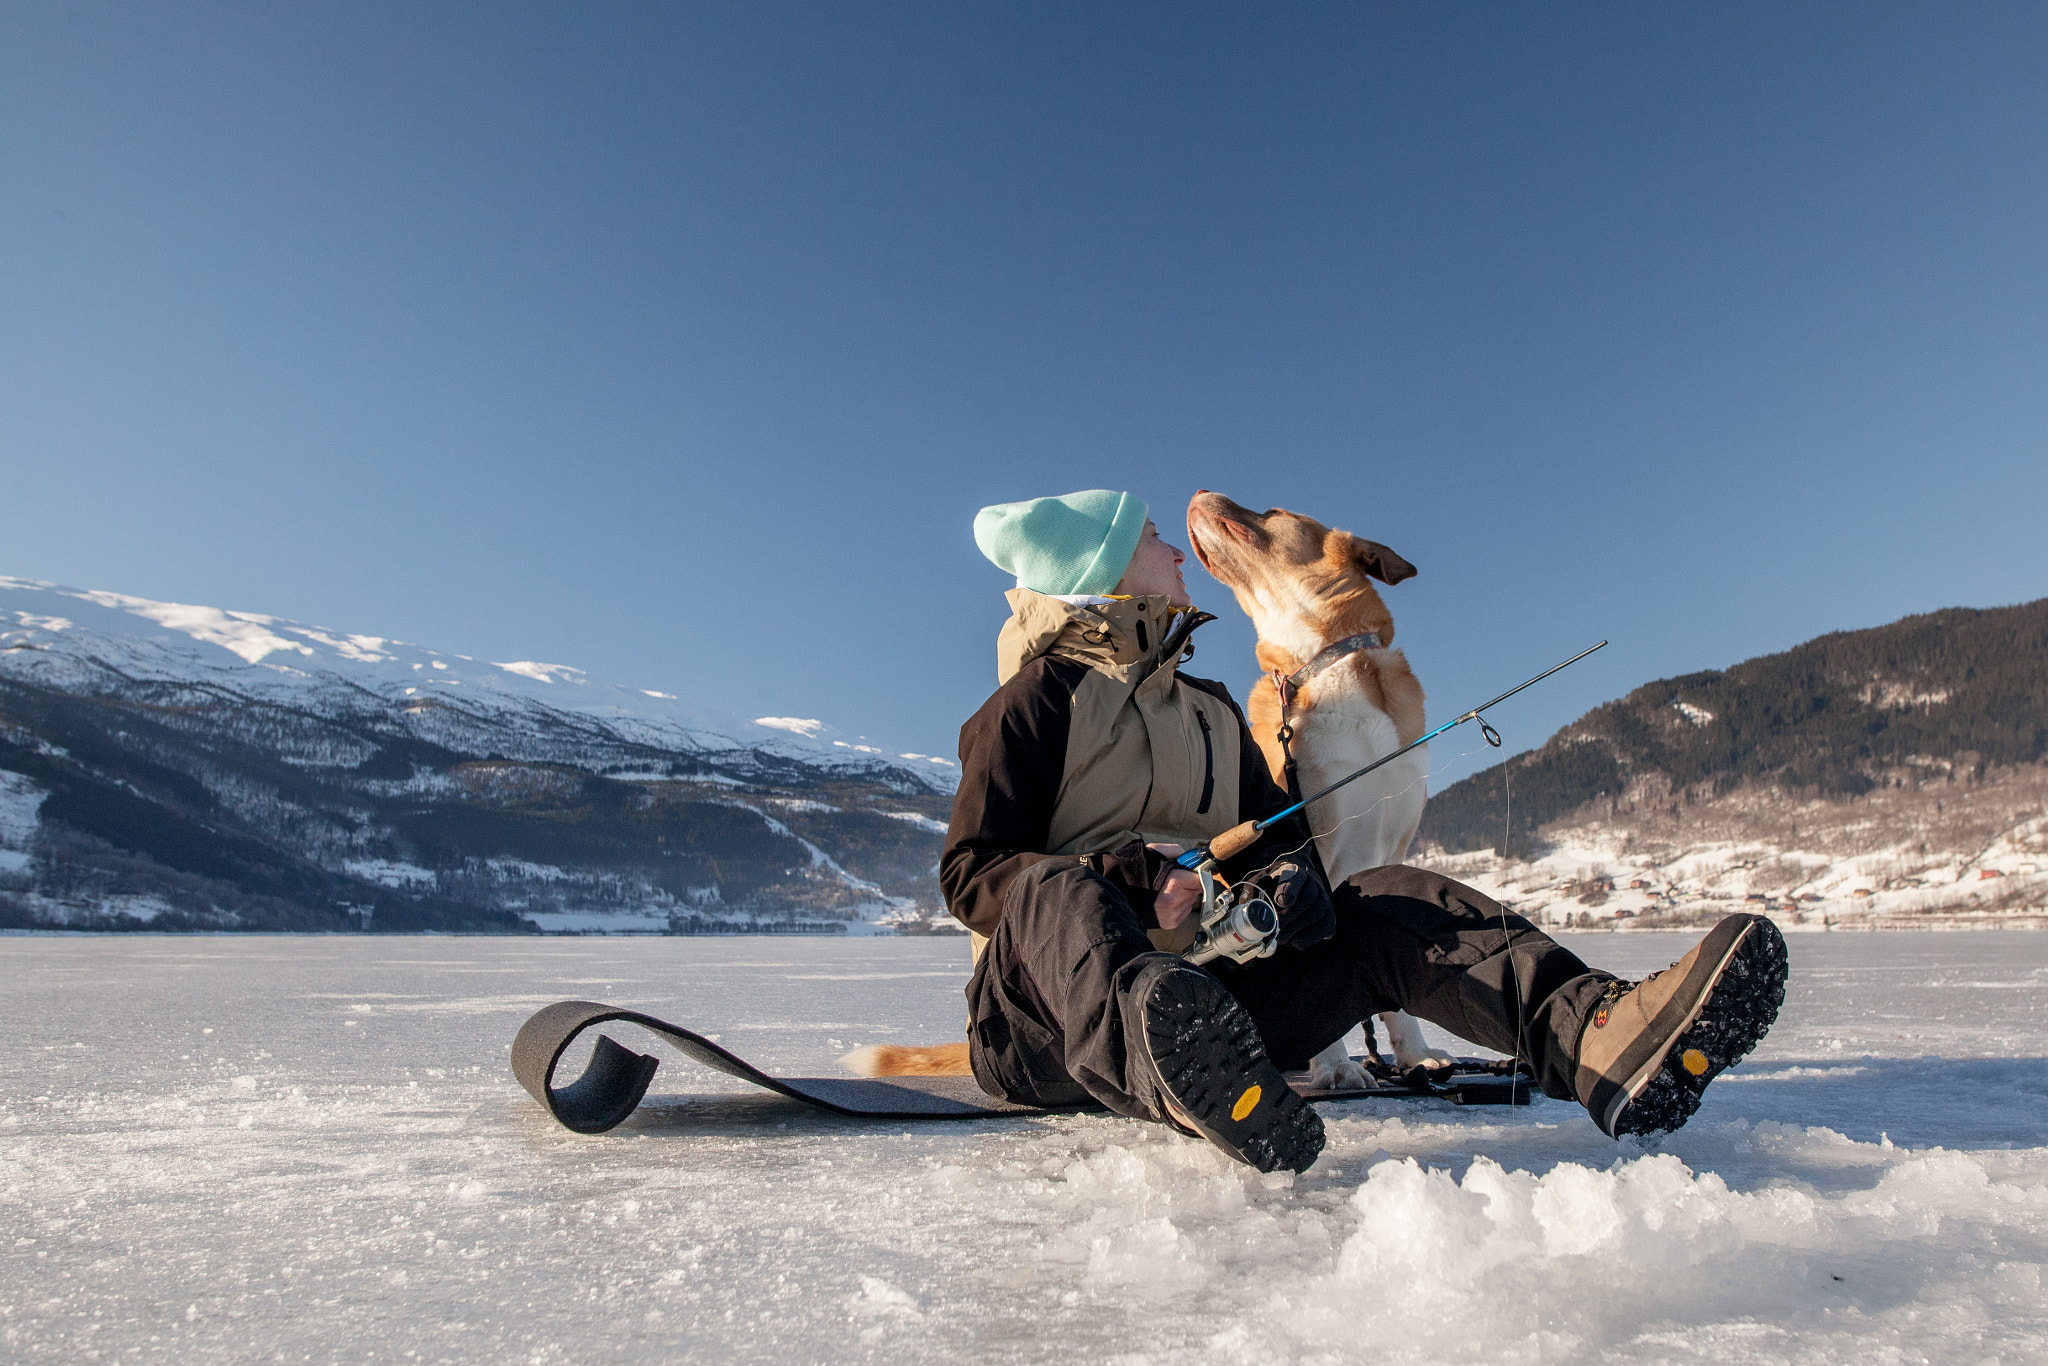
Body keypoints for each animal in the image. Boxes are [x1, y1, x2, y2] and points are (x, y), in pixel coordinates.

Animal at [1187, 491, 1458, 1089]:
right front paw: (1337, 1067)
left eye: (1272, 511)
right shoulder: (1309, 845)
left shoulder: (1393, 845)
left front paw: (1414, 1056)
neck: (1325, 659)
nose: (1196, 495)